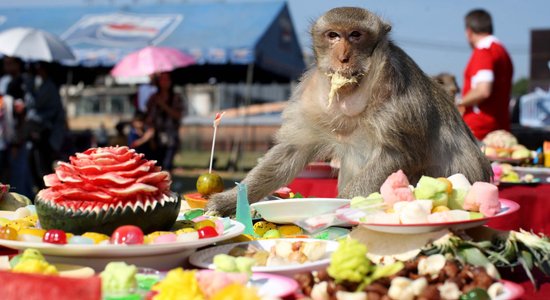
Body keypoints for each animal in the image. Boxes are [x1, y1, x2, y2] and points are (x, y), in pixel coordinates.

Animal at [207, 6, 492, 216]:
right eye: (333, 35)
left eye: (355, 35)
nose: (343, 57)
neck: (352, 89)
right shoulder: (310, 96)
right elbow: (291, 150)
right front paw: (228, 201)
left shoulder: (397, 88)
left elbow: (397, 154)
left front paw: (334, 209)